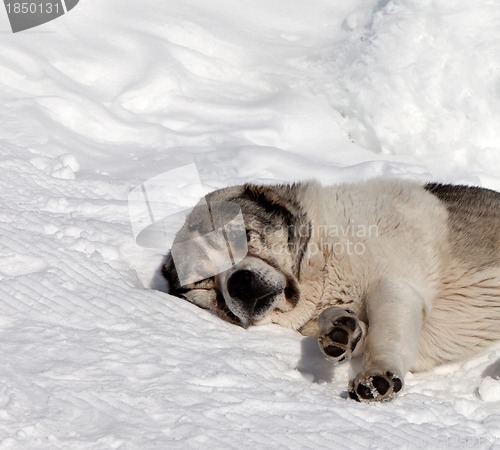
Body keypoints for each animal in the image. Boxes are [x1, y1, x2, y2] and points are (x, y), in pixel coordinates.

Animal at [163, 178, 500, 402]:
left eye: (240, 236)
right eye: (204, 282)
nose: (238, 283)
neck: (321, 256)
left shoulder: (394, 286)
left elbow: (386, 335)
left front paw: (377, 375)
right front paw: (342, 330)